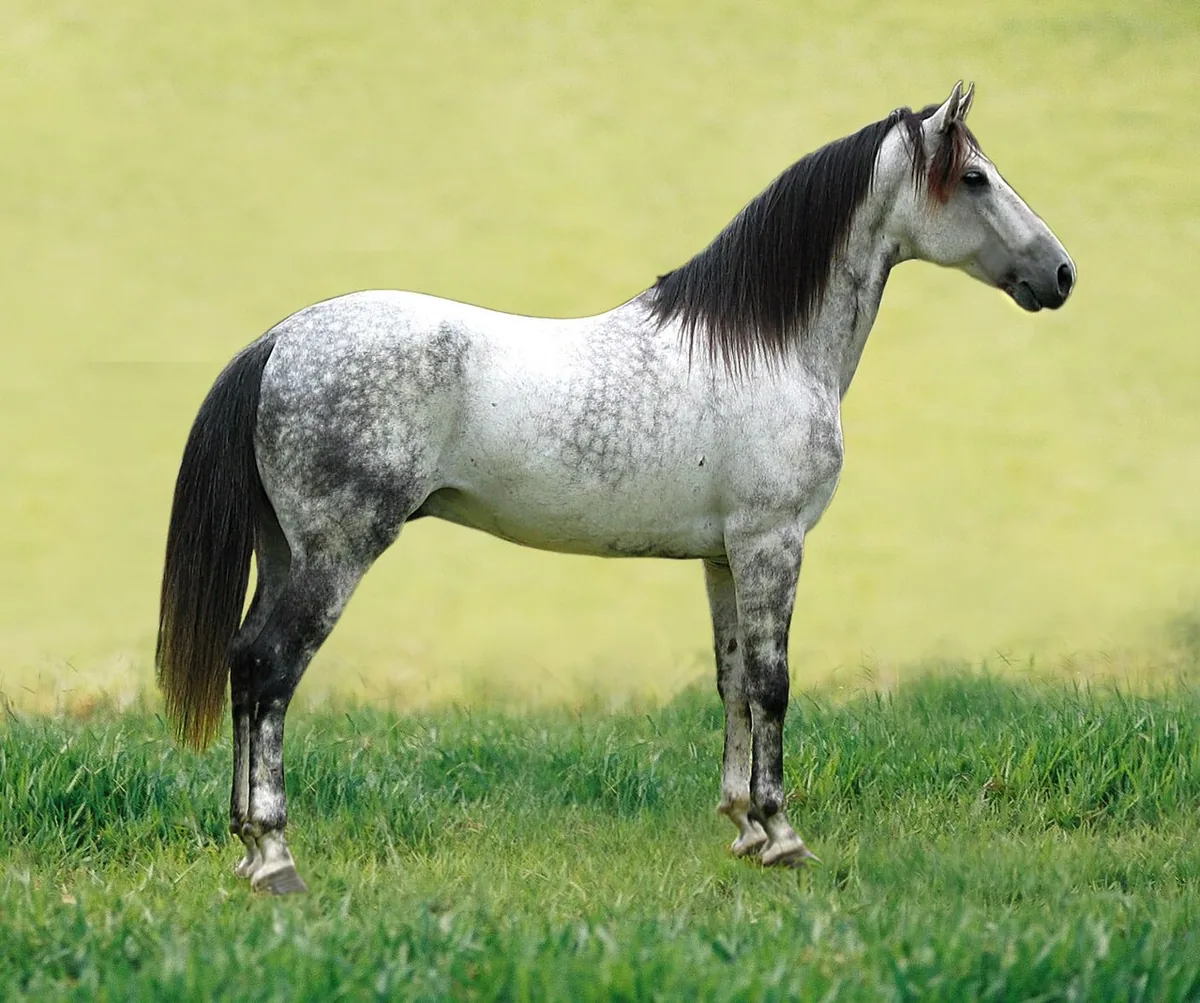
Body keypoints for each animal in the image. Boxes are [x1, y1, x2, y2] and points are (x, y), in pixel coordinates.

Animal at [156, 83, 1075, 894]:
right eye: (975, 177)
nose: (1062, 274)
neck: (767, 346)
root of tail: (280, 340)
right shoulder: (772, 543)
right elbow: (774, 684)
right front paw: (783, 837)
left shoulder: (724, 556)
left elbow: (734, 683)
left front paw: (744, 827)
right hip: (336, 554)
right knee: (271, 670)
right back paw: (275, 855)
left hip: (284, 551)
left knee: (244, 663)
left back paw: (245, 847)